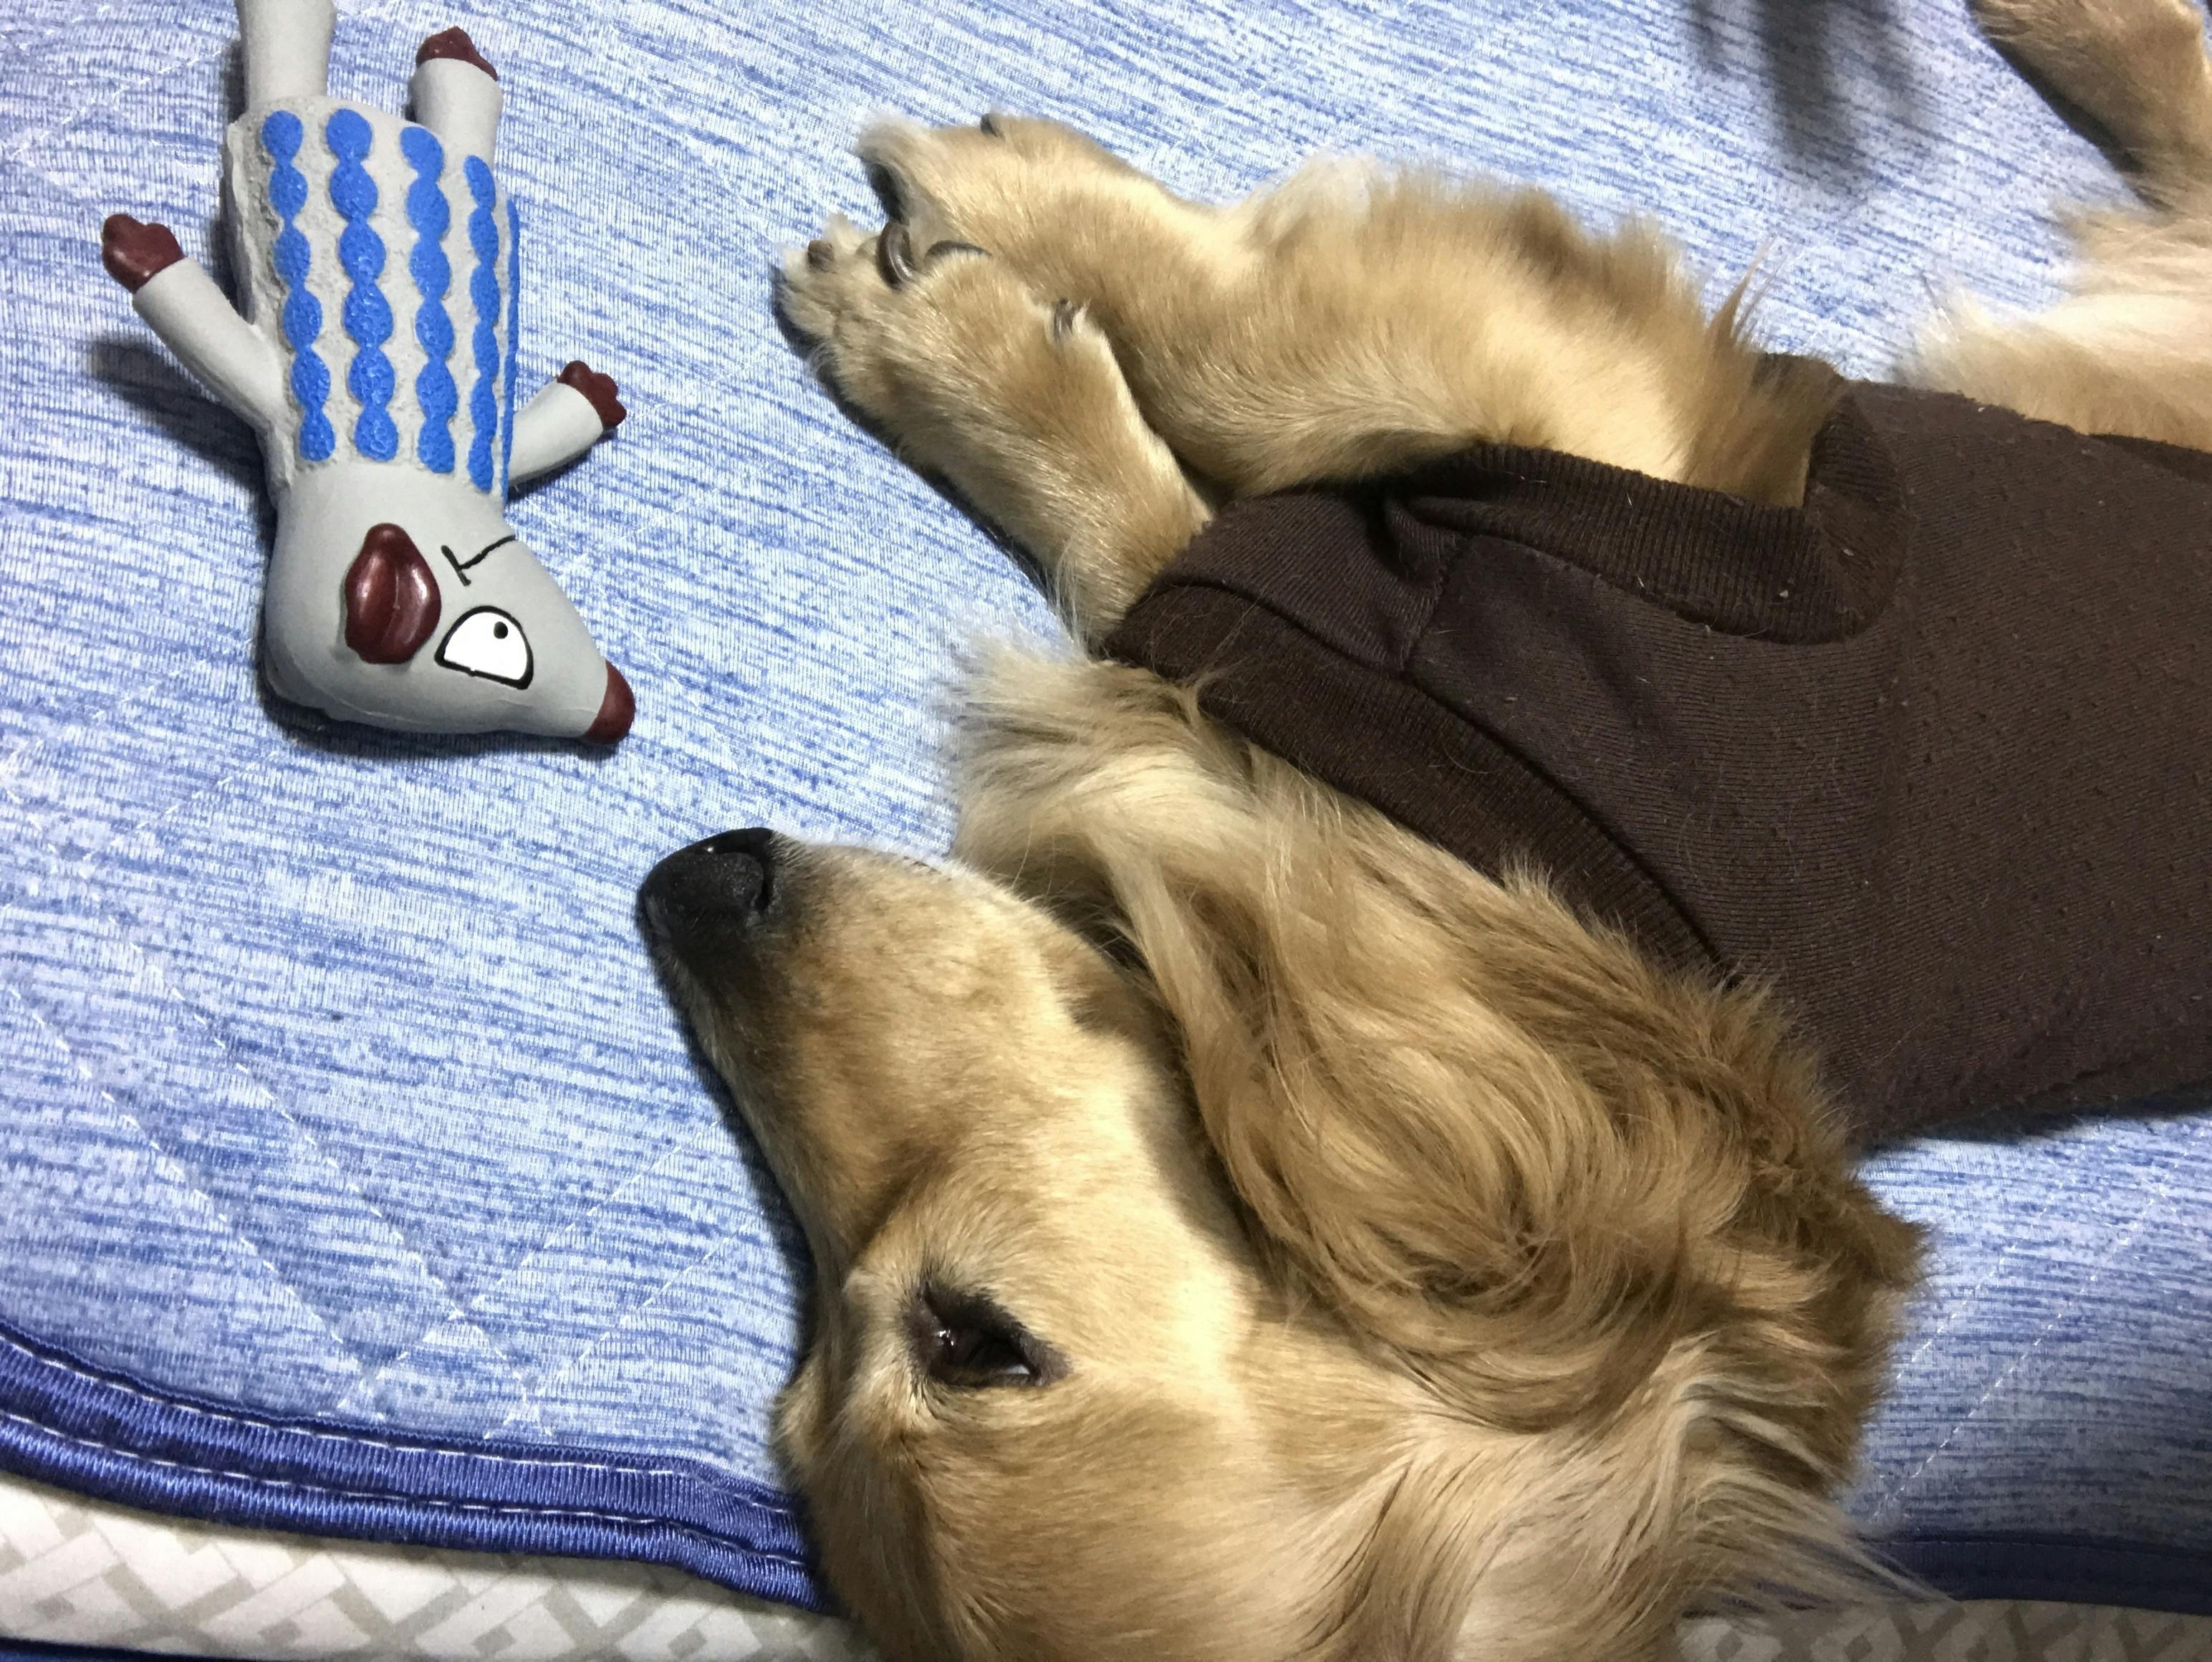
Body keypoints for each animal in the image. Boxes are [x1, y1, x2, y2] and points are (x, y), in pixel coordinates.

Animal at [641, 2, 2212, 1657]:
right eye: (804, 1404)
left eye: (970, 1339)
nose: (685, 885)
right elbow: (1176, 514)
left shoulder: (1607, 447)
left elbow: (1229, 388)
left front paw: (969, 289)